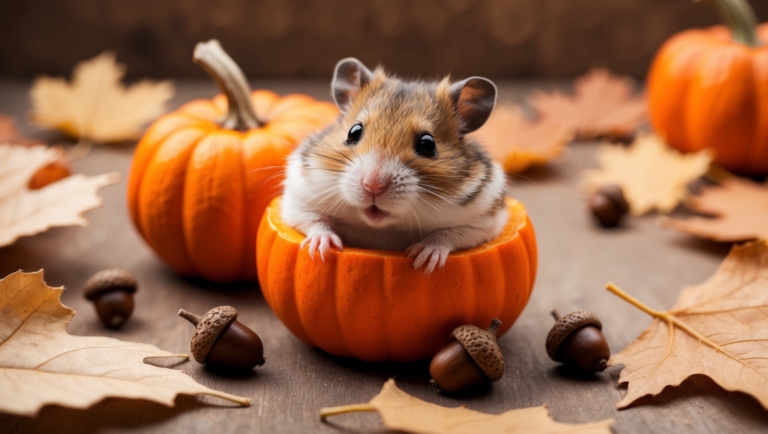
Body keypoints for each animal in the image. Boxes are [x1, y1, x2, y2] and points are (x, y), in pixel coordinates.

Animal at [281, 58, 508, 274]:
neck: (384, 227)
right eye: (354, 131)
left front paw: (424, 259)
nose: (373, 186)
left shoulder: (482, 221)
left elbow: (446, 235)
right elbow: (314, 220)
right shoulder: (299, 199)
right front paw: (321, 249)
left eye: (428, 144)